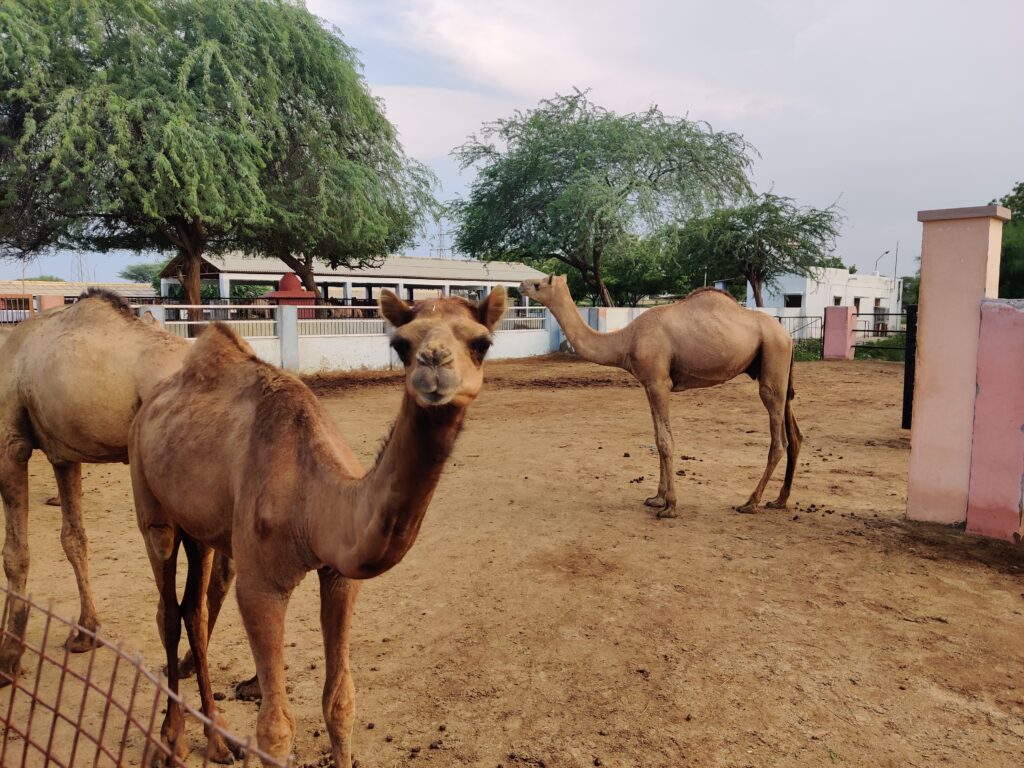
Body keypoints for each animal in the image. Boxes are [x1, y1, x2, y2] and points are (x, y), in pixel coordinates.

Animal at [128, 286, 507, 765]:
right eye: (400, 345)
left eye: (481, 343)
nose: (434, 363)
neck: (314, 503)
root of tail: (151, 403)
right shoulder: (261, 586)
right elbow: (274, 730)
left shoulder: (341, 577)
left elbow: (340, 703)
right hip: (149, 497)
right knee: (167, 608)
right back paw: (172, 738)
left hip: (201, 528)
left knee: (193, 609)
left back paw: (217, 739)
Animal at [520, 274, 798, 520]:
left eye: (539, 283)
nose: (521, 285)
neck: (626, 340)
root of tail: (787, 336)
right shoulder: (648, 384)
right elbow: (657, 437)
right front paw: (656, 498)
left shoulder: (659, 383)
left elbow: (665, 441)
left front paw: (670, 506)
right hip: (776, 367)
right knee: (794, 435)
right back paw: (779, 500)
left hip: (773, 358)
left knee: (778, 439)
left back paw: (751, 502)